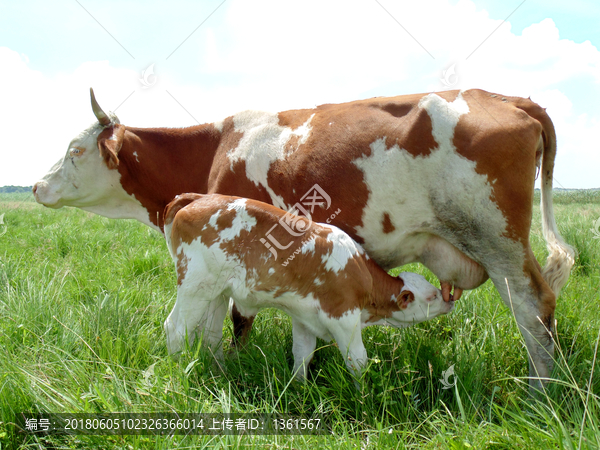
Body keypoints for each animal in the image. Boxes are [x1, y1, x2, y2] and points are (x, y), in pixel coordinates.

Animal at [162, 192, 452, 380]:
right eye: (431, 296)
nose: (449, 299)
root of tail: (197, 198)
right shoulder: (344, 317)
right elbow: (357, 360)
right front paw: (362, 395)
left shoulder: (304, 318)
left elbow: (302, 354)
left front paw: (297, 388)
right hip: (195, 285)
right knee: (175, 328)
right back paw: (178, 371)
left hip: (217, 292)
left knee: (210, 334)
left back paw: (220, 370)